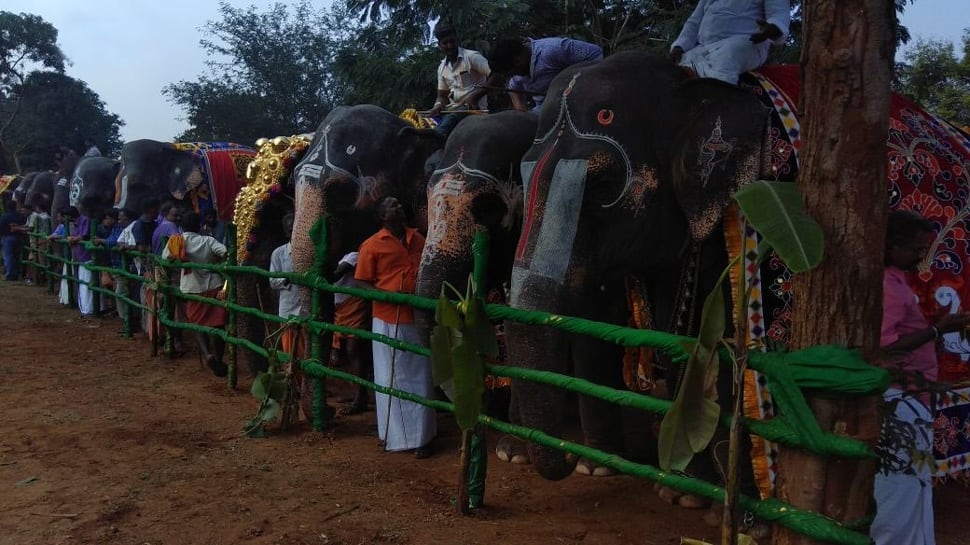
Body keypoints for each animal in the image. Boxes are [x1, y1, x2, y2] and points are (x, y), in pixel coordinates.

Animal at [502, 52, 768, 480]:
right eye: (521, 181)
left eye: (601, 188)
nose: (563, 459)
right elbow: (599, 323)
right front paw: (596, 468)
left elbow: (705, 337)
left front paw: (689, 486)